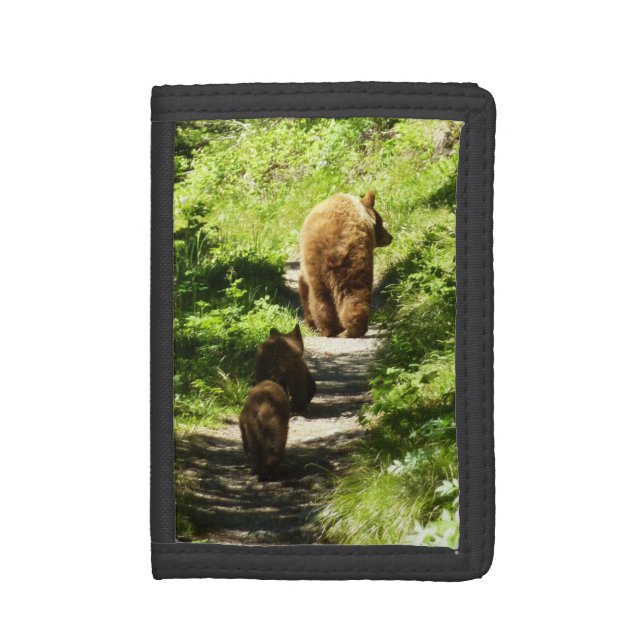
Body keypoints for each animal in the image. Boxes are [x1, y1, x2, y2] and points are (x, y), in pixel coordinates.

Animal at [299, 191, 392, 338]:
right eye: (381, 222)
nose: (390, 237)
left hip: (322, 262)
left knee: (323, 297)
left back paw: (330, 329)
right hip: (352, 259)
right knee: (353, 291)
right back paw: (350, 329)